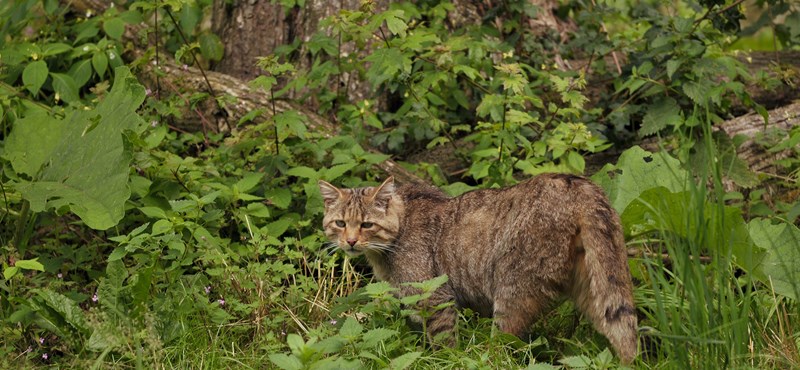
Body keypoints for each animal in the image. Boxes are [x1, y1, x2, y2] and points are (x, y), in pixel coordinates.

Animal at [318, 175, 636, 362]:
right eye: (340, 223)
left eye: (367, 224)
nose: (350, 241)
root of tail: (578, 183)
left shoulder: (434, 297)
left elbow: (444, 343)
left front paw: (445, 361)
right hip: (596, 285)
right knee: (621, 327)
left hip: (511, 289)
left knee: (503, 347)